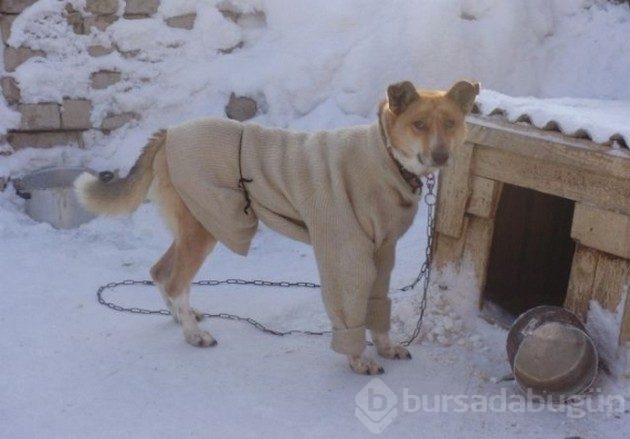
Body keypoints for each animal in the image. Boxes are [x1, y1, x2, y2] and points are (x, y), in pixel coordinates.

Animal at [75, 80, 478, 374]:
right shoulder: (345, 255)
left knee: (160, 272)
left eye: (451, 124)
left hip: (196, 226)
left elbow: (378, 308)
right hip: (206, 227)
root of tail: (170, 132)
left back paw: (179, 317)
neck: (385, 157)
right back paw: (193, 334)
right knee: (175, 281)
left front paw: (385, 346)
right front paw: (358, 360)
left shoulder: (383, 252)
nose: (441, 156)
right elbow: (351, 312)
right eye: (419, 125)